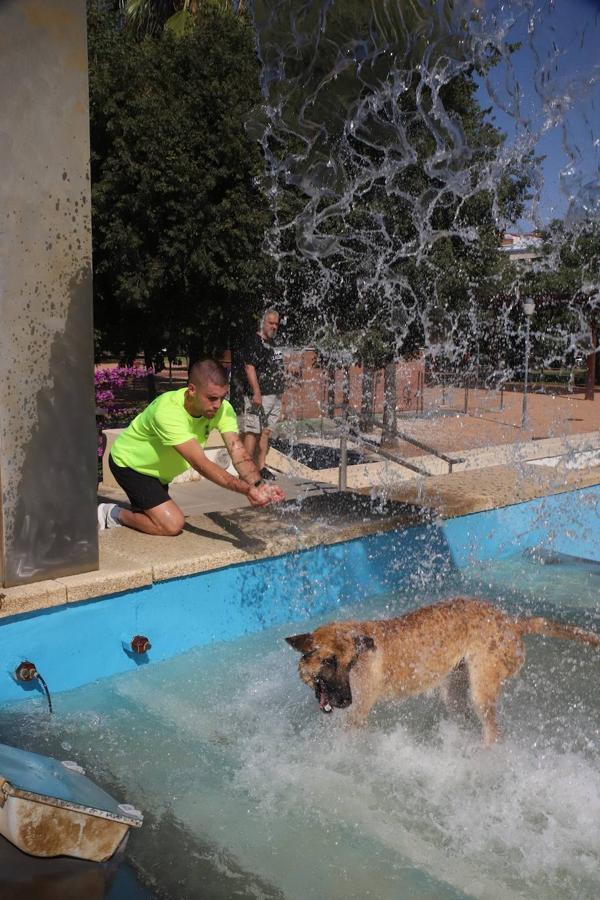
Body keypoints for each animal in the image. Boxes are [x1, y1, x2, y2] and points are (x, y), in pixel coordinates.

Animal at [284, 596, 600, 744]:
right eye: (329, 662)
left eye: (350, 664)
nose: (346, 700)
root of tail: (512, 622)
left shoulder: (357, 715)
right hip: (454, 691)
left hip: (481, 690)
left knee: (494, 734)